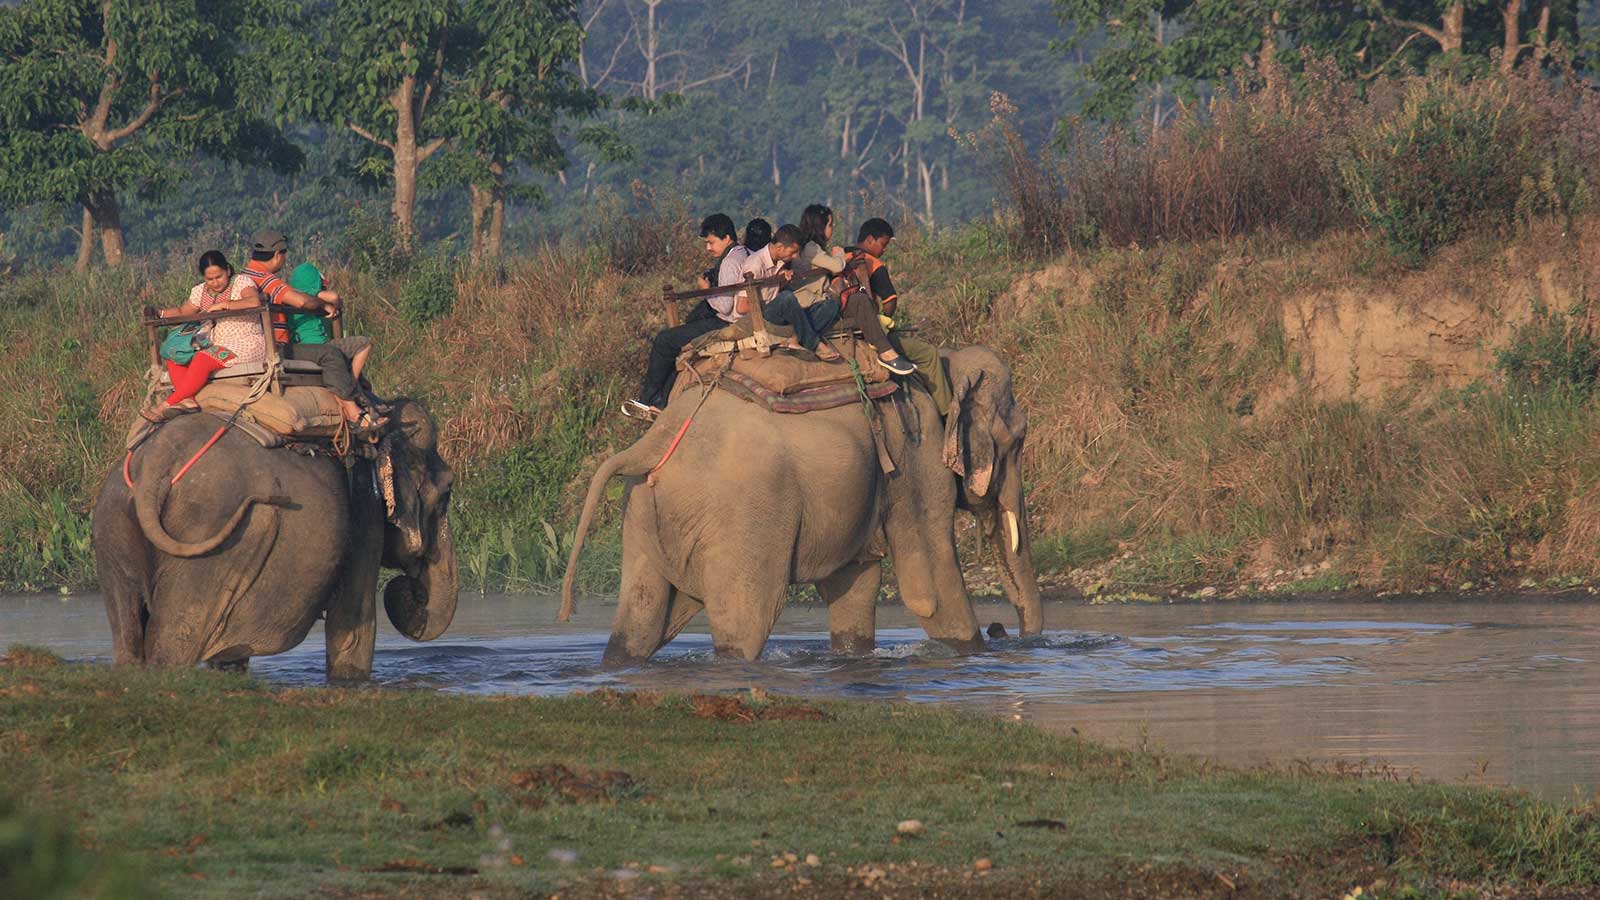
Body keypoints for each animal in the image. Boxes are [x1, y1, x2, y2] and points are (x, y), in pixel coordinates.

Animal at [92, 395, 457, 675]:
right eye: (448, 489)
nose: (412, 589)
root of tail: (156, 466)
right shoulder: (364, 513)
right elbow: (353, 629)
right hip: (208, 541)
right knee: (173, 641)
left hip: (111, 528)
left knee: (128, 636)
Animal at [563, 341, 1036, 659]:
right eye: (1018, 439)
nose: (1002, 630)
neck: (943, 364)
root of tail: (654, 440)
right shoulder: (916, 452)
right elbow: (929, 586)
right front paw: (971, 652)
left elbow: (856, 582)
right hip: (744, 521)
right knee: (746, 623)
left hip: (643, 510)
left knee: (639, 623)